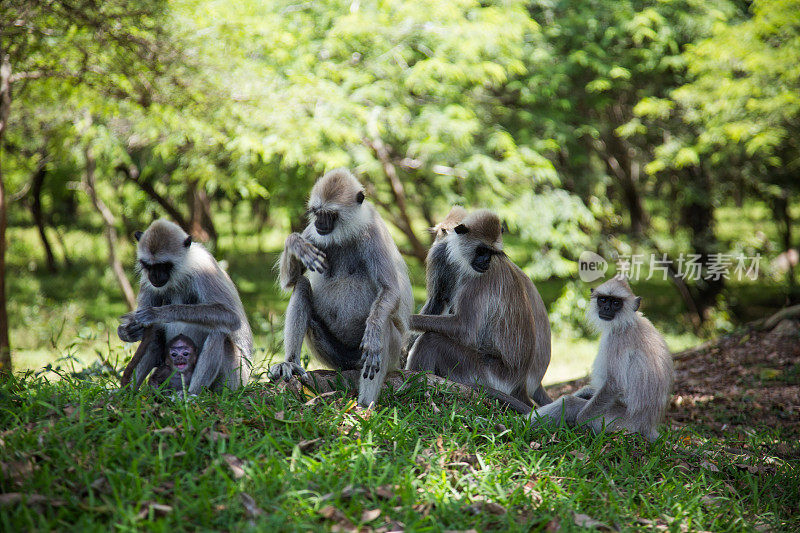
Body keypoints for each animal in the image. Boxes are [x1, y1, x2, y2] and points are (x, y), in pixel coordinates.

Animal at [115, 218, 252, 392]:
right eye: (149, 266)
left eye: (164, 265)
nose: (155, 276)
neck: (182, 270)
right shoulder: (147, 280)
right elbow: (146, 329)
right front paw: (128, 331)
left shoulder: (204, 268)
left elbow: (231, 316)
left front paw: (157, 314)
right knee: (155, 336)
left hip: (236, 377)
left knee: (219, 334)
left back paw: (193, 394)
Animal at [272, 168, 416, 406]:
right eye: (316, 212)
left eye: (330, 214)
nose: (320, 223)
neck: (347, 233)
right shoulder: (313, 234)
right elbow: (290, 282)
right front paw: (296, 243)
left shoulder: (373, 232)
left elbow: (390, 290)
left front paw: (373, 334)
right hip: (337, 357)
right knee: (301, 285)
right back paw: (290, 363)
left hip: (392, 354)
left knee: (383, 328)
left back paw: (364, 406)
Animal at [404, 210, 552, 406]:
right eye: (482, 250)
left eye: (491, 252)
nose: (486, 261)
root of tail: (520, 385)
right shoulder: (441, 255)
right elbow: (437, 301)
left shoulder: (478, 280)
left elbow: (465, 329)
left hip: (485, 375)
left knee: (431, 340)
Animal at [532, 276, 676, 442]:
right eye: (603, 300)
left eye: (616, 303)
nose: (606, 308)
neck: (628, 322)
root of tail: (647, 426)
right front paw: (585, 391)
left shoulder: (617, 339)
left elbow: (614, 385)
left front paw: (580, 420)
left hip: (618, 423)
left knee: (568, 403)